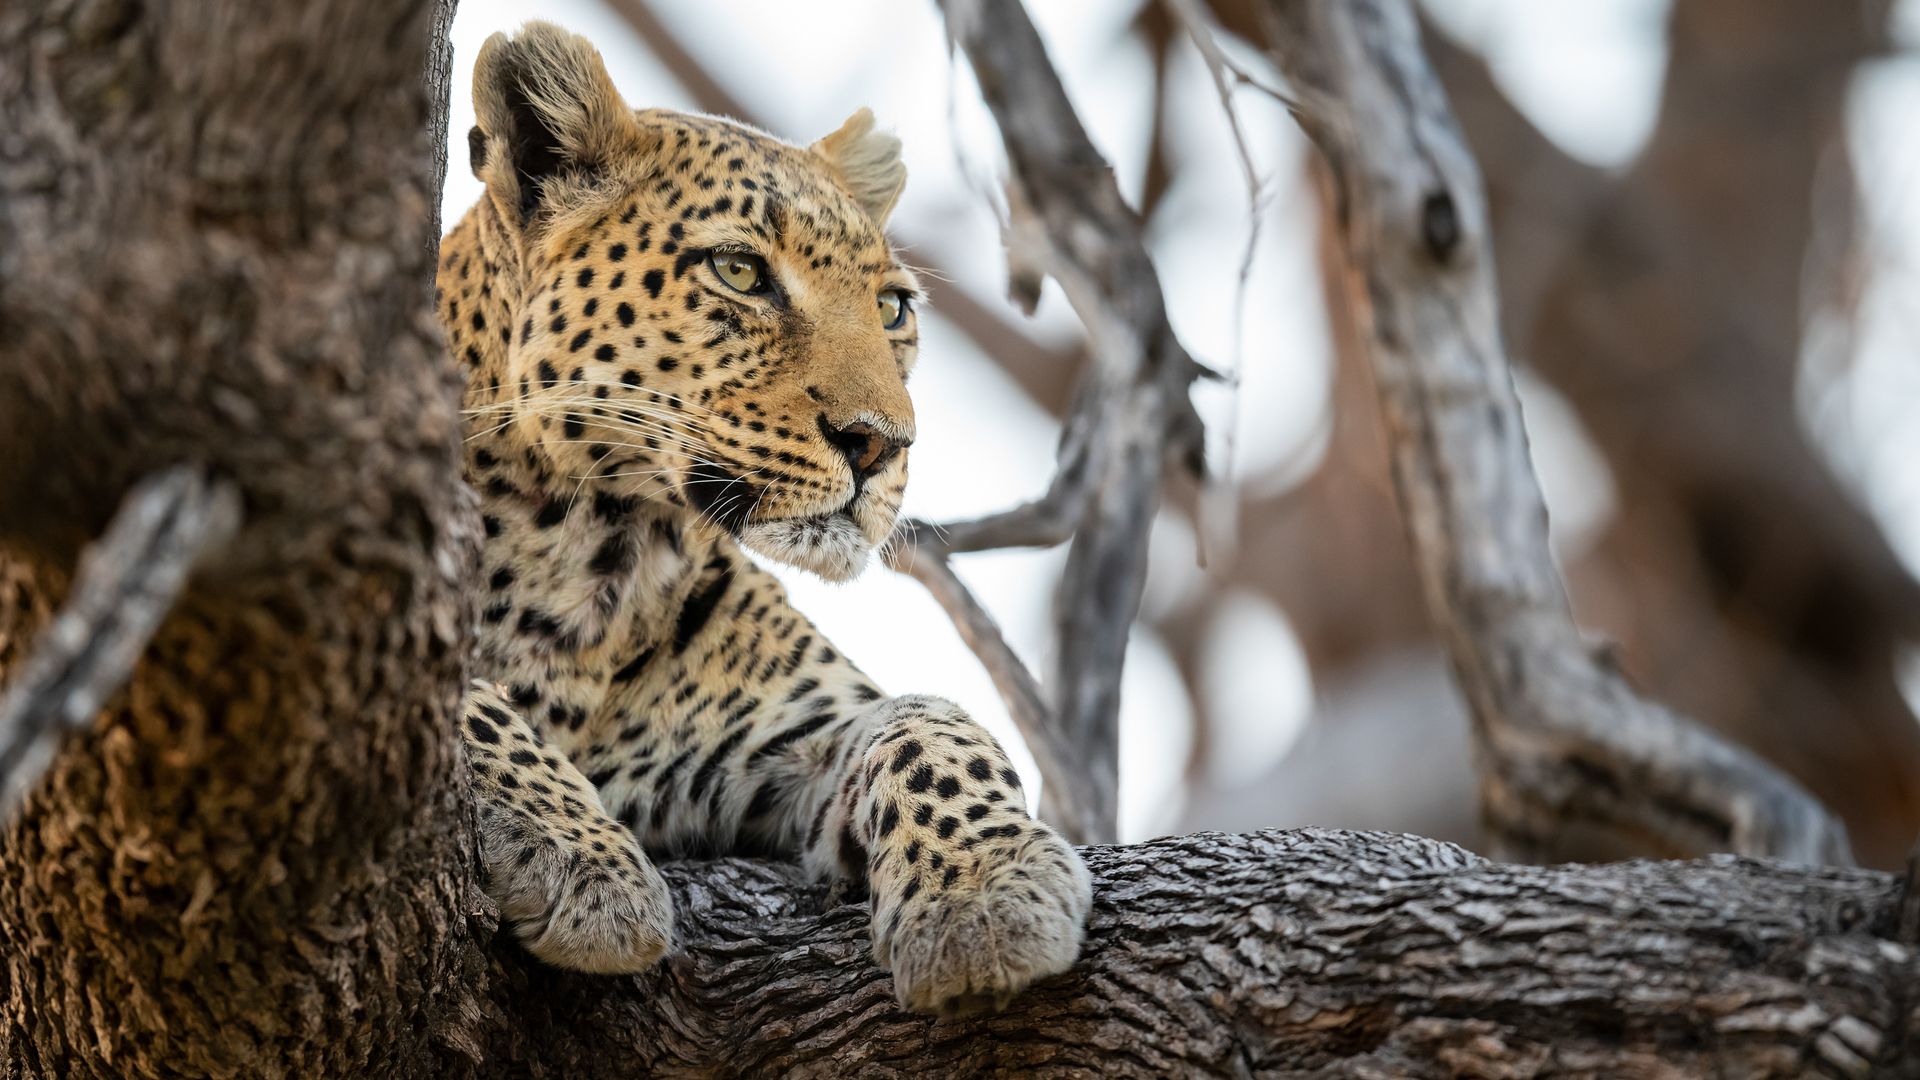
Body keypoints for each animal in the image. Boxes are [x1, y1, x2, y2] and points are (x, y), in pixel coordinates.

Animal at [435, 21, 1092, 1016]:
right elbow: (463, 698)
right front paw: (583, 857)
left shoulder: (788, 743)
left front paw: (985, 885)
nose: (881, 444)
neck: (594, 553)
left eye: (891, 307)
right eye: (740, 271)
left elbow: (930, 719)